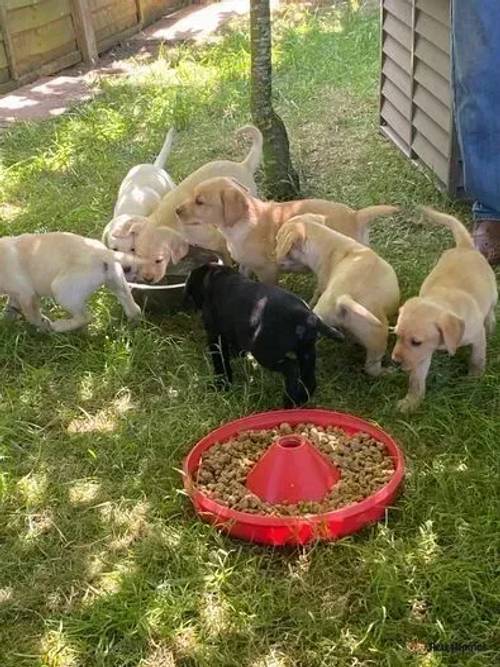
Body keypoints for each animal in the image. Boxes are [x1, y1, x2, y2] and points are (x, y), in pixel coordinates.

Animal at [1, 232, 143, 332]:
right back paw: (134, 320)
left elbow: (33, 316)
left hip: (61, 290)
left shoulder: (26, 295)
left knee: (85, 317)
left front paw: (43, 325)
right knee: (132, 305)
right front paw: (7, 321)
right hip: (116, 280)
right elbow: (10, 307)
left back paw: (60, 326)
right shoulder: (16, 295)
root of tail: (101, 252)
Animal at [176, 176, 398, 284]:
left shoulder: (268, 271)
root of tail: (356, 215)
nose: (176, 211)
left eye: (200, 201)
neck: (241, 224)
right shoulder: (246, 264)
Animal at [184, 264, 344, 404]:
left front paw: (222, 384)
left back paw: (289, 400)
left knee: (291, 368)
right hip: (307, 352)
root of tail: (306, 315)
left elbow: (220, 361)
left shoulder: (215, 336)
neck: (217, 277)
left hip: (266, 354)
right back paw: (299, 401)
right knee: (309, 380)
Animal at [276, 217, 400, 378]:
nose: (273, 256)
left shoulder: (322, 281)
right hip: (377, 335)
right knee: (372, 369)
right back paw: (390, 371)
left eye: (278, 239)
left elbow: (315, 294)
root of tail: (342, 299)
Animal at [392, 207, 498, 412]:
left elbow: (477, 359)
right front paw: (411, 402)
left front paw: (474, 379)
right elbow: (416, 380)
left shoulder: (477, 337)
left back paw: (491, 323)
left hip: (493, 292)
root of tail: (465, 247)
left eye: (416, 342)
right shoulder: (423, 355)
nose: (395, 361)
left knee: (490, 310)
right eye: (396, 336)